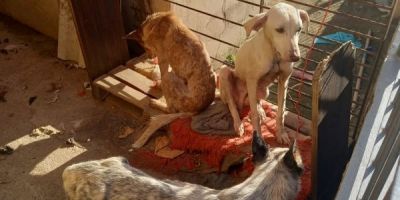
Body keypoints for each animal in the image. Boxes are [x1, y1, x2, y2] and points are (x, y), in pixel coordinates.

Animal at [219, 3, 310, 144]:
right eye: (279, 30)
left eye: (299, 29)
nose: (295, 58)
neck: (274, 55)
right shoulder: (252, 81)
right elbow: (254, 116)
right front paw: (258, 139)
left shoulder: (284, 80)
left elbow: (281, 112)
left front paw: (281, 134)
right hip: (225, 73)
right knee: (232, 105)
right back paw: (238, 124)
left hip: (264, 91)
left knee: (255, 102)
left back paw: (260, 110)